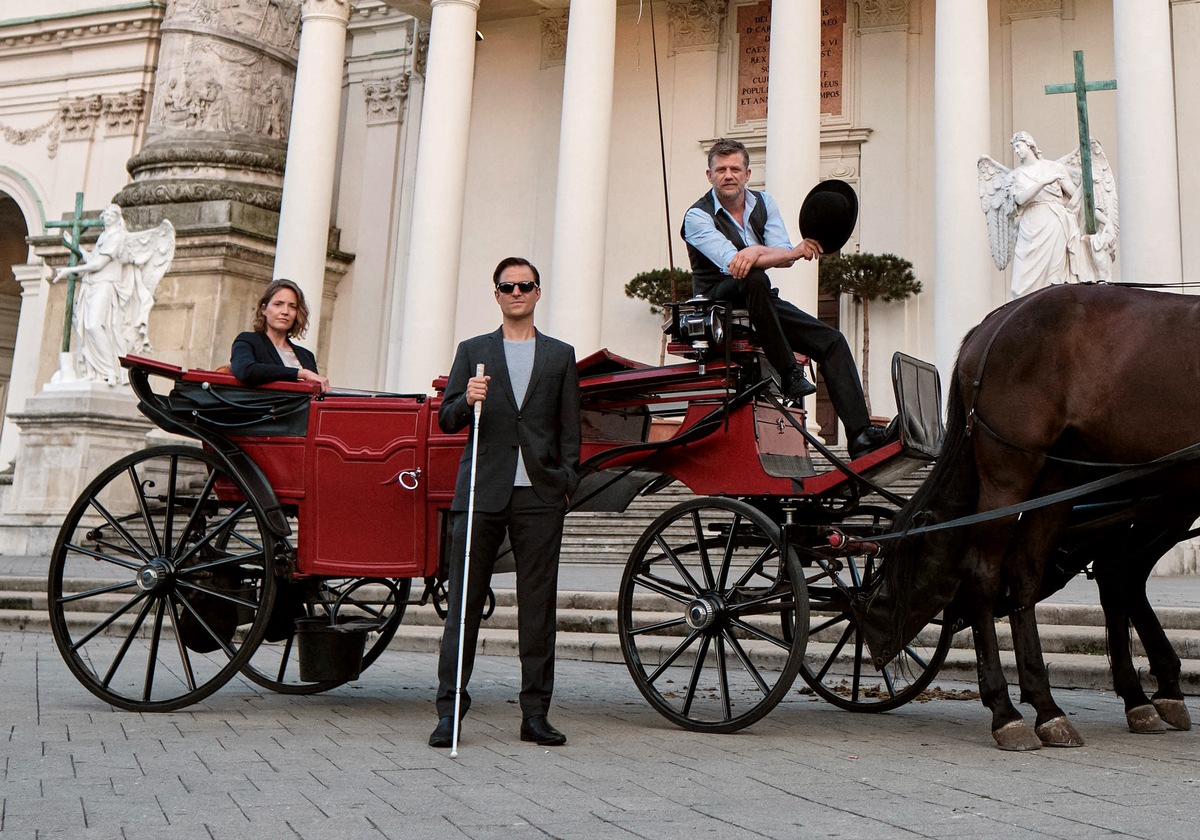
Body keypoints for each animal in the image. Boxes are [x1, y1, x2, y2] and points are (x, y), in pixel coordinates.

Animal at [864, 285, 1200, 753]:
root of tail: (996, 319)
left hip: (1070, 475)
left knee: (1037, 570)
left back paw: (1051, 707)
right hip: (1012, 470)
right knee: (985, 572)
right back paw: (1007, 713)